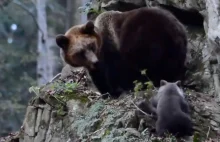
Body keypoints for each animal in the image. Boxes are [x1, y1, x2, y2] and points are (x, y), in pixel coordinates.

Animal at [56, 7, 187, 98]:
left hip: (145, 35)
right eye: (80, 52)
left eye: (91, 45)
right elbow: (100, 78)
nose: (94, 61)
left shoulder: (111, 50)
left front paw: (119, 89)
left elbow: (117, 71)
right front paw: (107, 93)